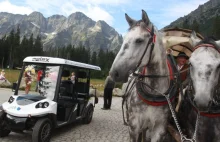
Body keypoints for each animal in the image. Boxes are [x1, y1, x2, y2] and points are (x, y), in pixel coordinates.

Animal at [110, 10, 180, 142]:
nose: (114, 73)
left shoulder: (159, 130)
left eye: (139, 40)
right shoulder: (134, 127)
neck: (154, 92)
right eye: (124, 39)